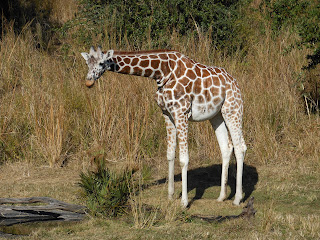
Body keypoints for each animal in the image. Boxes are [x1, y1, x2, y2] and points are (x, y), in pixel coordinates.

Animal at [81, 46, 246, 206]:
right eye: (87, 63)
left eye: (101, 63)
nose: (88, 82)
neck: (162, 72)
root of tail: (235, 82)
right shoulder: (167, 114)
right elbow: (170, 154)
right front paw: (170, 195)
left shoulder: (181, 113)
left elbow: (183, 159)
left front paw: (184, 202)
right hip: (216, 115)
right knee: (226, 147)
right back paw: (222, 197)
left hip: (233, 109)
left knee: (240, 147)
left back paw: (237, 199)